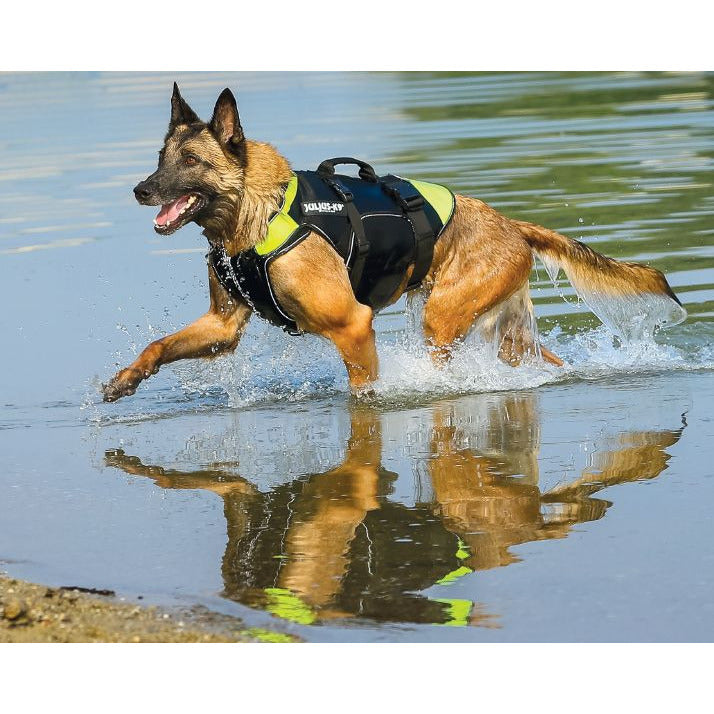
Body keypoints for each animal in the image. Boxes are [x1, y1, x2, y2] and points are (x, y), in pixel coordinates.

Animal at [100, 83, 684, 400]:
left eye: (190, 161)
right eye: (160, 158)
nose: (140, 190)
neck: (256, 216)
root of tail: (512, 225)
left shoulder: (352, 326)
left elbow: (364, 394)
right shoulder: (222, 328)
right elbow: (159, 345)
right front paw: (126, 380)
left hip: (442, 321)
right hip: (506, 337)